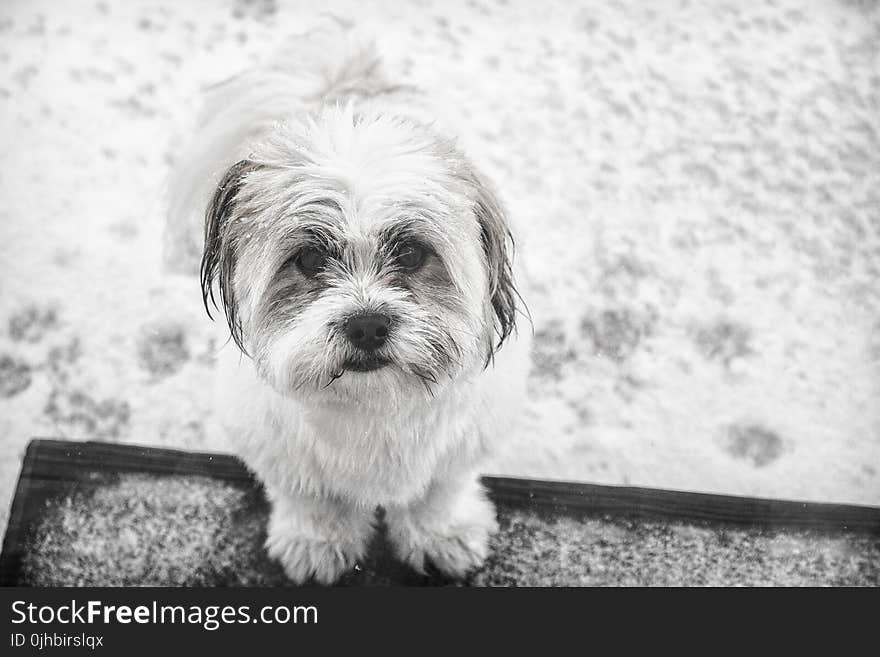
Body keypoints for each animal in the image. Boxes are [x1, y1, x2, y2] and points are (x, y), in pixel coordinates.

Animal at [169, 20, 532, 584]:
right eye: (309, 259)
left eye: (411, 252)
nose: (366, 324)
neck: (373, 406)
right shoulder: (279, 451)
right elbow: (313, 498)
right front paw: (316, 543)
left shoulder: (460, 445)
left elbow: (437, 492)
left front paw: (440, 535)